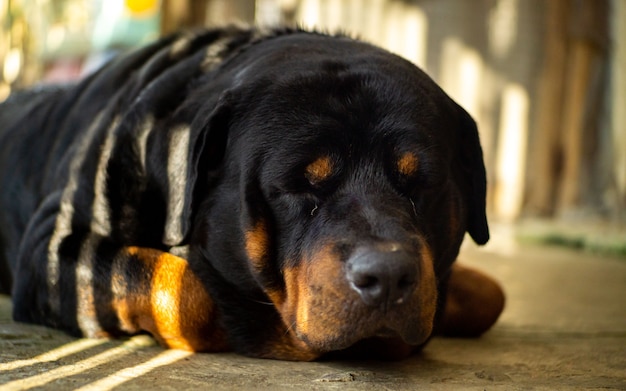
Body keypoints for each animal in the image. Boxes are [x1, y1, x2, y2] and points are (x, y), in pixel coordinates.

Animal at [0, 26, 502, 360]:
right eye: (300, 184)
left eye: (421, 183)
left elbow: (492, 293)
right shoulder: (56, 248)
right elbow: (188, 291)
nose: (388, 273)